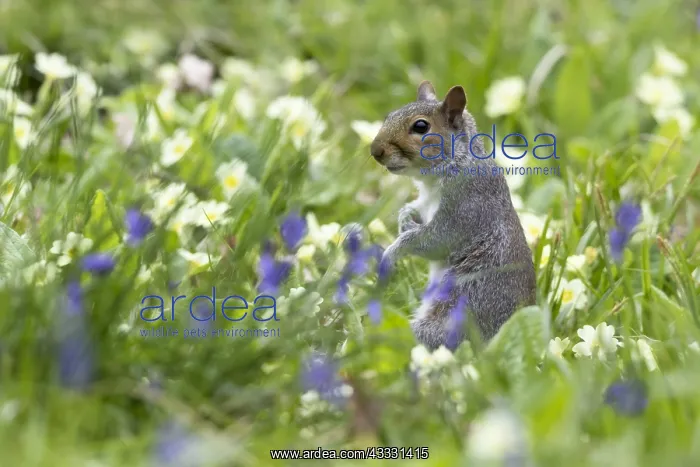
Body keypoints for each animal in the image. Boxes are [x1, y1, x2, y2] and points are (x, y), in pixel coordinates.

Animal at [370, 81, 536, 350]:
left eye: (421, 126)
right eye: (390, 115)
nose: (375, 150)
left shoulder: (466, 207)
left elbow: (436, 241)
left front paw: (391, 253)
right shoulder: (427, 202)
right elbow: (415, 210)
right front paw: (404, 217)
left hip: (455, 317)